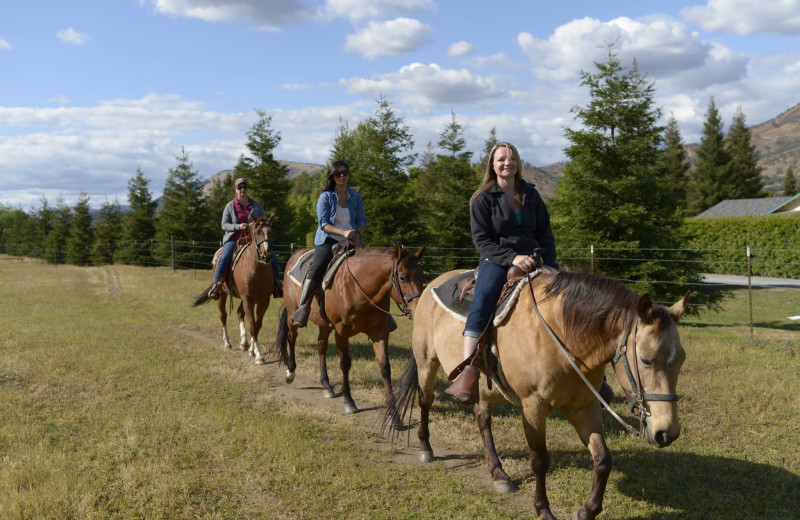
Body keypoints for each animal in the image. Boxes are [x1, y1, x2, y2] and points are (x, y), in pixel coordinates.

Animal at [191, 213, 276, 364]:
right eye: (256, 232)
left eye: (271, 232)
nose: (266, 256)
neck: (257, 270)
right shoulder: (248, 299)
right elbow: (253, 325)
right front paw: (259, 355)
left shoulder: (264, 301)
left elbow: (257, 325)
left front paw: (252, 350)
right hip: (222, 294)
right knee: (223, 315)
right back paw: (227, 343)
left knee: (239, 313)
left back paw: (244, 343)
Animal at [276, 242, 424, 424]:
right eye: (402, 278)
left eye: (422, 276)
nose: (419, 310)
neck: (358, 289)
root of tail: (295, 255)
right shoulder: (341, 332)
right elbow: (345, 363)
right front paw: (349, 401)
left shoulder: (380, 332)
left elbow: (385, 367)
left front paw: (393, 414)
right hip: (292, 315)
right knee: (292, 338)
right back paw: (290, 372)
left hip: (325, 324)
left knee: (321, 346)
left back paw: (326, 385)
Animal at [390, 268, 688, 520]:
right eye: (646, 359)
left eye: (682, 359)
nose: (667, 433)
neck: (562, 338)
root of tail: (432, 285)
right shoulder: (533, 408)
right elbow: (540, 460)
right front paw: (543, 509)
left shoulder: (584, 407)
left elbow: (603, 459)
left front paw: (587, 510)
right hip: (426, 362)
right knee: (425, 401)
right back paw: (426, 448)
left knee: (482, 419)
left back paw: (498, 472)